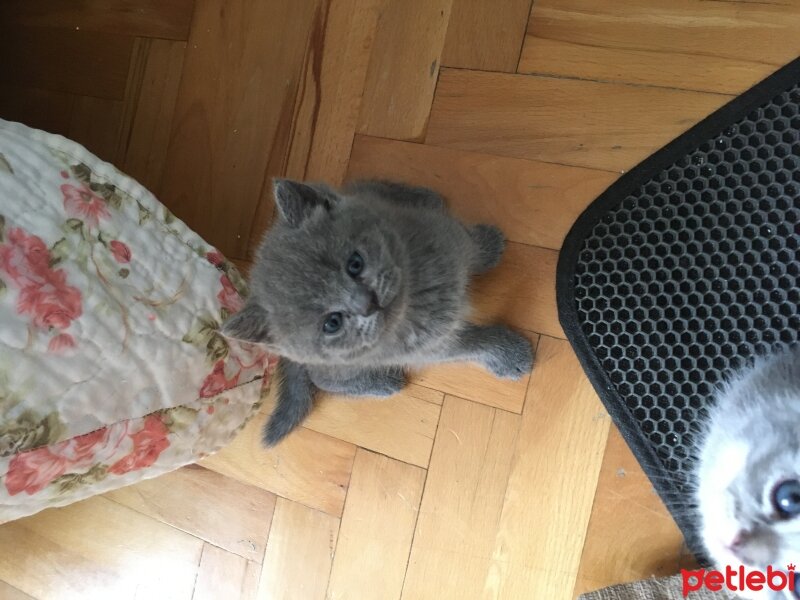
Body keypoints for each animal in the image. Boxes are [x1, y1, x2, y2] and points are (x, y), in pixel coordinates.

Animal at [222, 178, 536, 446]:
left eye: (355, 264)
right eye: (332, 323)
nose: (367, 303)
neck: (415, 298)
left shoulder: (444, 235)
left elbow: (467, 242)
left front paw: (488, 245)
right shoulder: (429, 347)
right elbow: (473, 343)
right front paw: (510, 354)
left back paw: (419, 195)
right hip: (342, 364)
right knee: (323, 379)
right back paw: (382, 383)